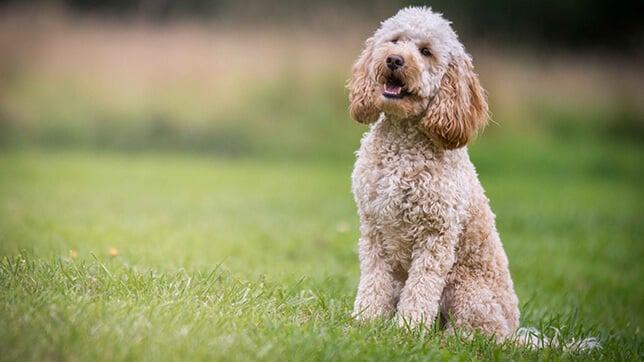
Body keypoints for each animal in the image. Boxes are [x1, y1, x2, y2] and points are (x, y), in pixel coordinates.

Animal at [350, 7, 520, 340]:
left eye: (426, 51)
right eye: (394, 40)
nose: (394, 60)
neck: (403, 143)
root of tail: (514, 333)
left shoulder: (436, 235)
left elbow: (421, 288)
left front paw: (408, 329)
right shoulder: (374, 229)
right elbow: (373, 282)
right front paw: (366, 321)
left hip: (467, 291)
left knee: (479, 335)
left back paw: (447, 339)